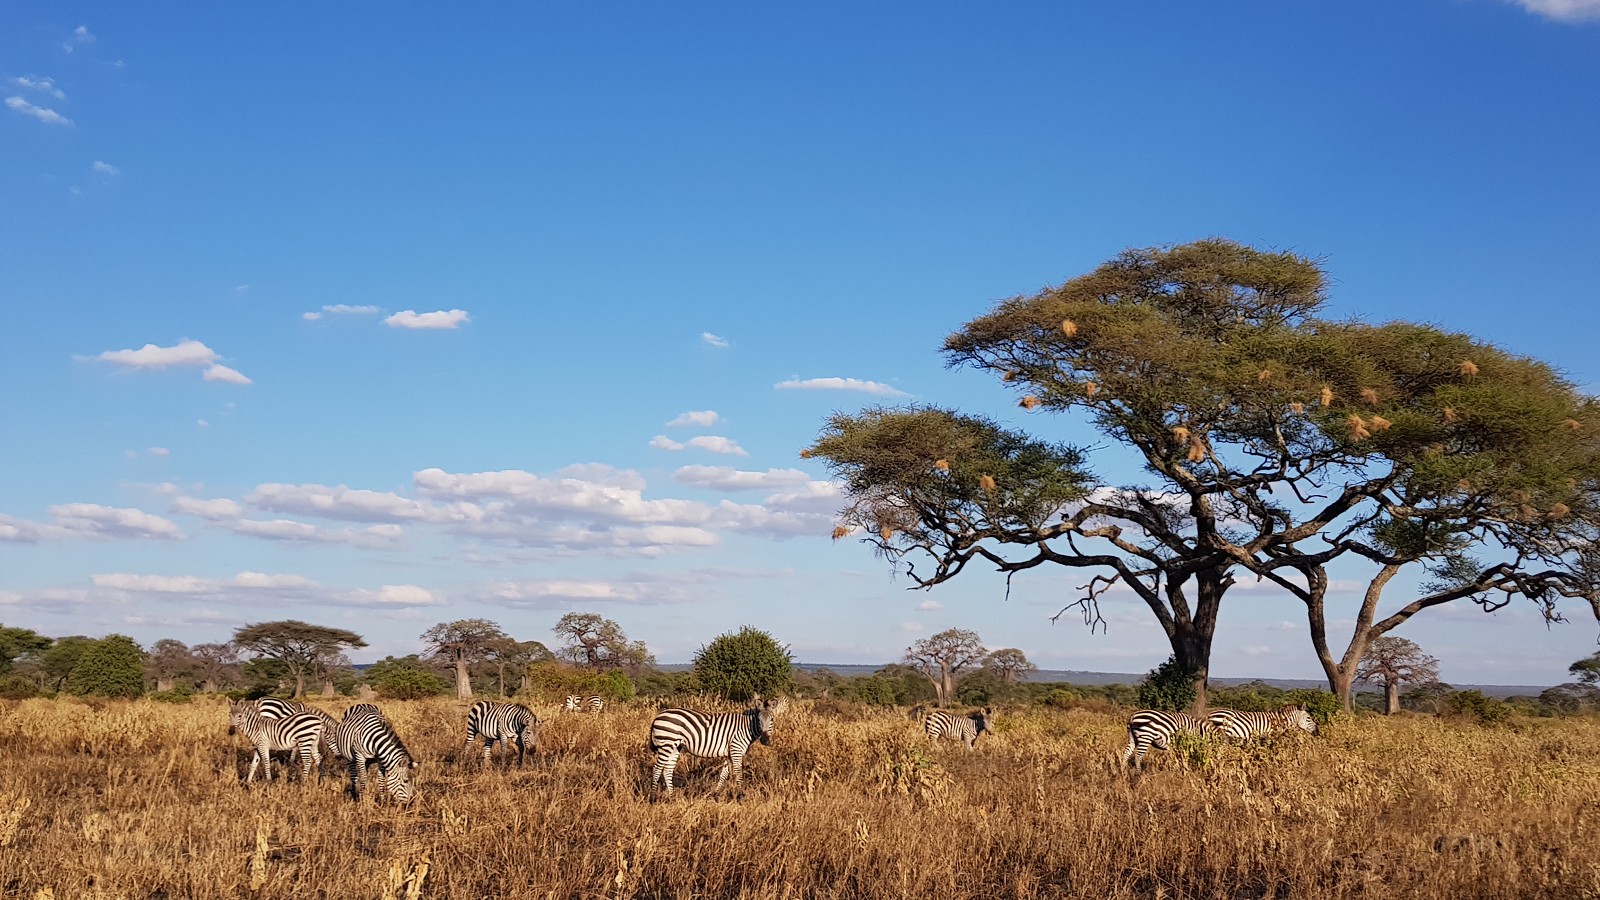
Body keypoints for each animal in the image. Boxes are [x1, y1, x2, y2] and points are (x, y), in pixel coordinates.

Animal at [646, 698, 777, 787]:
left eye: (772, 719)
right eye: (758, 719)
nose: (765, 740)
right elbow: (739, 774)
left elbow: (723, 774)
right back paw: (653, 797)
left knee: (667, 770)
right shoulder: (736, 750)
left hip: (674, 746)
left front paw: (717, 794)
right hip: (666, 744)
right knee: (657, 769)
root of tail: (658, 716)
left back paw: (671, 797)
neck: (745, 728)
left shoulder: (729, 753)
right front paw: (741, 795)